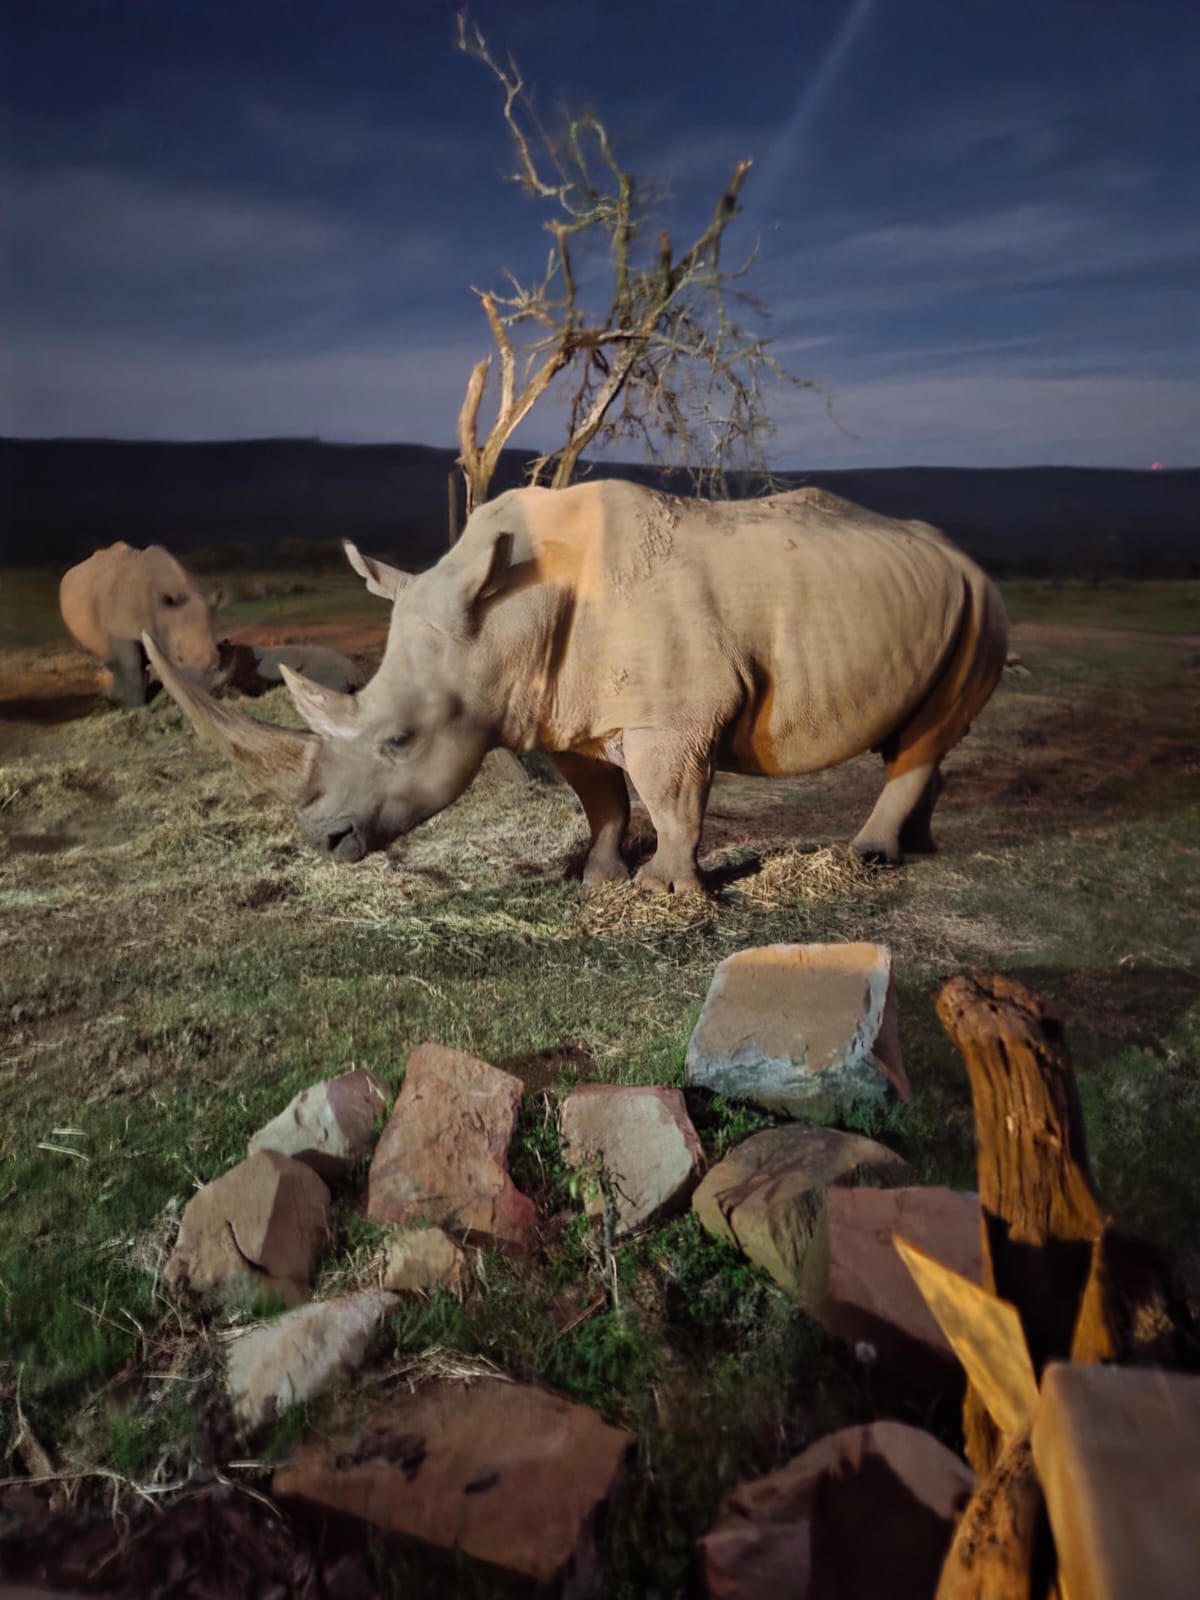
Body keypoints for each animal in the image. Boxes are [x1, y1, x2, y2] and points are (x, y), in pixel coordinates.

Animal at [60, 542, 221, 708]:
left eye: (218, 657)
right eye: (179, 658)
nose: (206, 692)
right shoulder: (122, 629)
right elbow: (132, 666)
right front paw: (137, 707)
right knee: (106, 655)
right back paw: (116, 698)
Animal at [147, 481, 1008, 891]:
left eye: (398, 739)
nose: (321, 842)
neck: (502, 622)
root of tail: (958, 553)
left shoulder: (673, 716)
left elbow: (668, 796)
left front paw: (664, 891)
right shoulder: (559, 710)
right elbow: (602, 800)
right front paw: (599, 879)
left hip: (983, 596)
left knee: (927, 735)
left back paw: (866, 856)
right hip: (943, 602)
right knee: (921, 733)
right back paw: (910, 851)